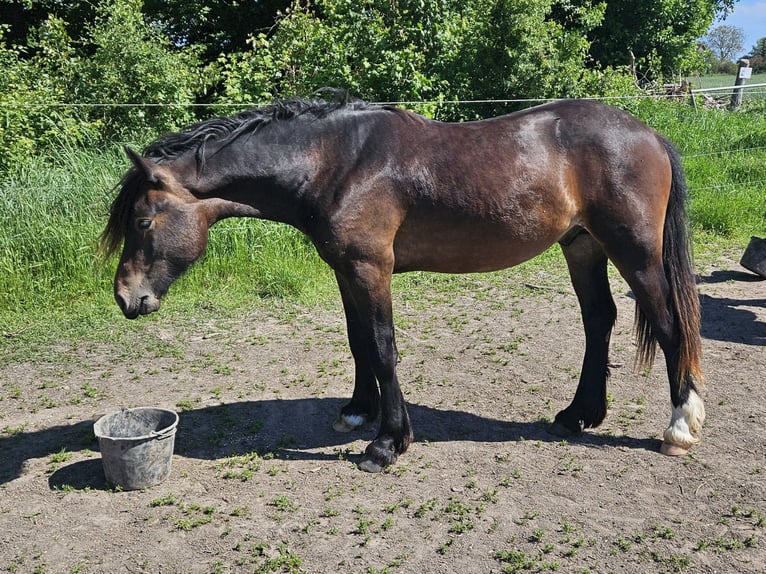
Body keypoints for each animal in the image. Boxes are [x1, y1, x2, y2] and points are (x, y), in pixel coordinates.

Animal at [102, 97, 708, 472]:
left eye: (143, 222)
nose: (127, 299)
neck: (334, 162)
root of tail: (650, 134)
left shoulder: (372, 268)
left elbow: (383, 346)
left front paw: (387, 443)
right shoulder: (346, 269)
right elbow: (358, 342)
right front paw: (357, 410)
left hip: (635, 253)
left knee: (669, 324)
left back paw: (680, 427)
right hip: (582, 246)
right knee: (598, 319)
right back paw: (579, 414)